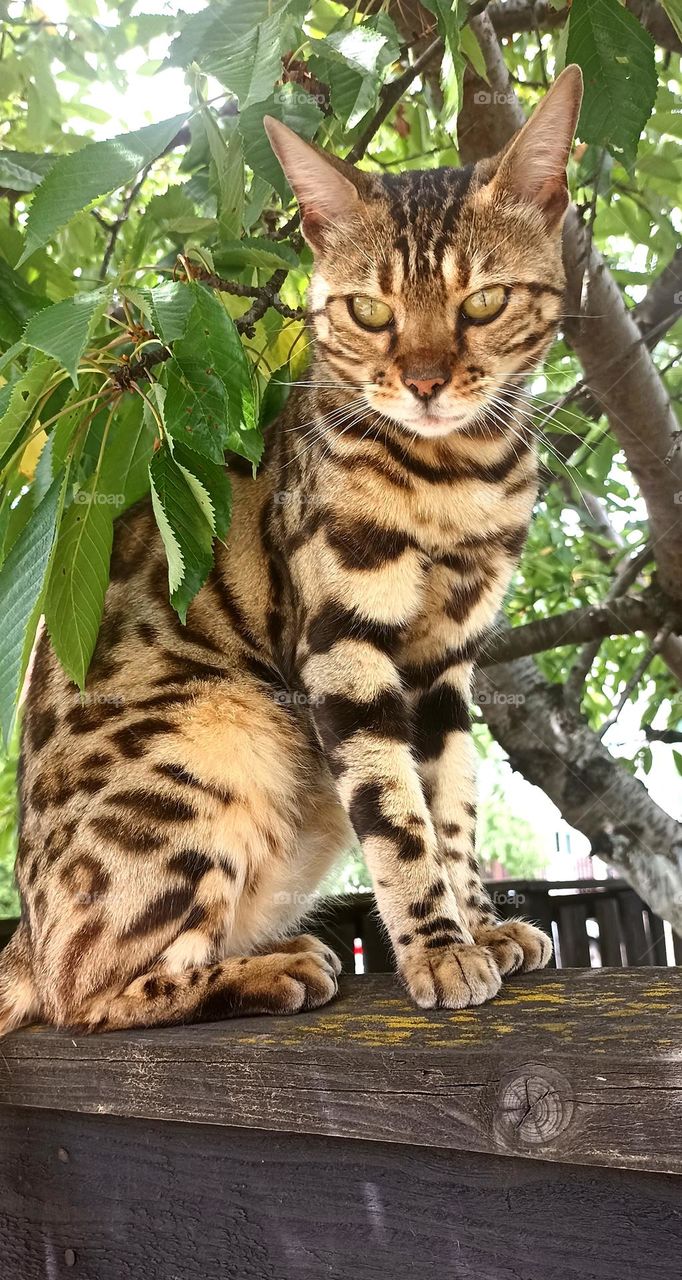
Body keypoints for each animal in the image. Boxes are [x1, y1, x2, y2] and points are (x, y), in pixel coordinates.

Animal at [1, 64, 580, 1034]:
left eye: (485, 302)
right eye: (370, 311)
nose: (425, 383)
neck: (458, 479)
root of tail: (24, 935)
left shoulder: (446, 666)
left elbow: (452, 807)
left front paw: (480, 925)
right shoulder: (344, 644)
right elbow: (397, 819)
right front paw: (439, 951)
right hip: (217, 736)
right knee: (81, 991)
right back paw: (268, 972)